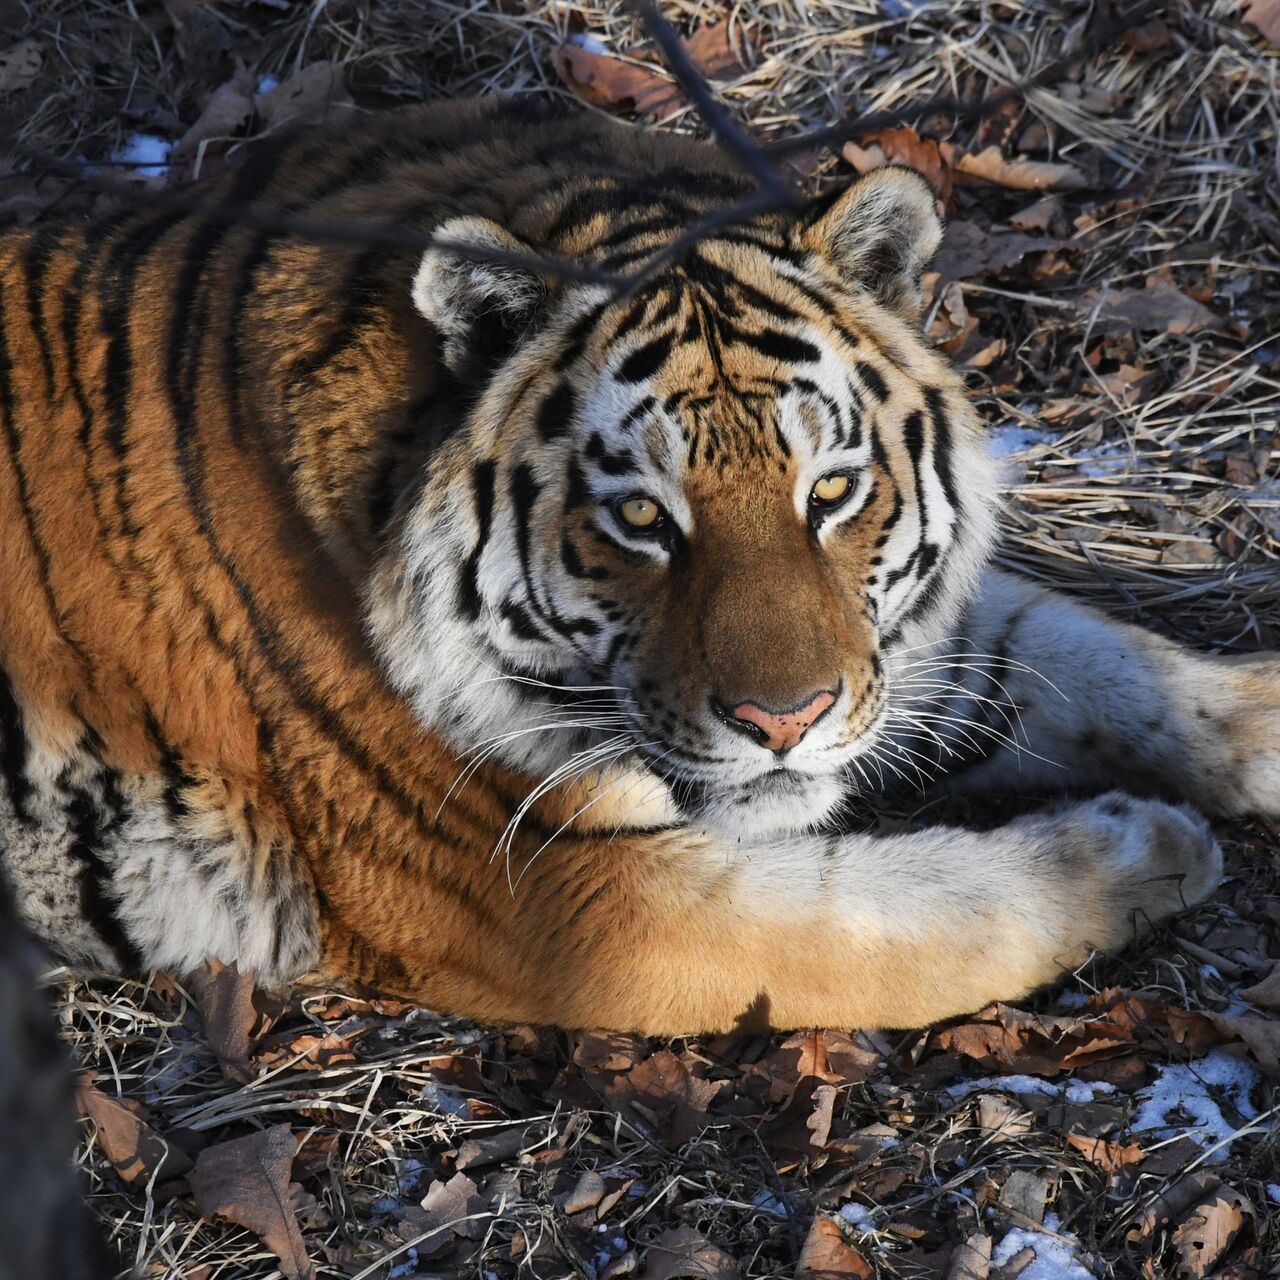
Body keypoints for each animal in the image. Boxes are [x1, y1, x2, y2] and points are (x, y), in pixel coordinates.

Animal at [0, 99, 1274, 1039]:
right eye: (640, 516)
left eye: (828, 493)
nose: (783, 720)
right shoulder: (571, 893)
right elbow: (903, 919)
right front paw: (1140, 848)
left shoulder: (892, 650)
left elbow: (1094, 655)